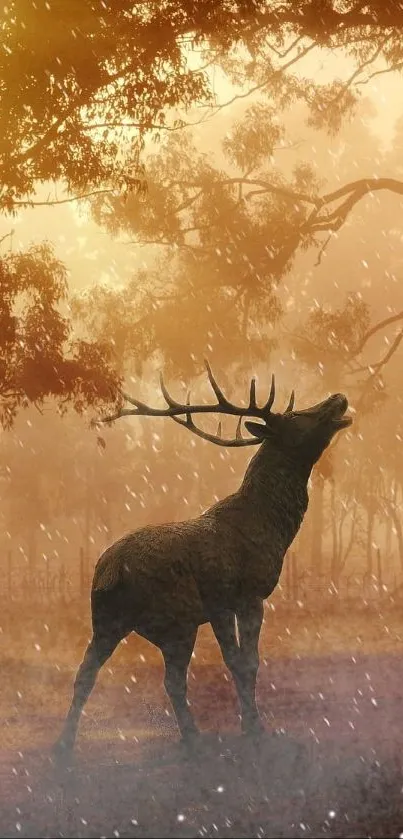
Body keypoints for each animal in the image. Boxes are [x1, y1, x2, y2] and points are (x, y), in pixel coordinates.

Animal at [54, 362, 354, 760]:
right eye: (295, 416)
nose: (338, 396)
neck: (272, 528)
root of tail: (111, 571)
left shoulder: (219, 607)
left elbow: (237, 662)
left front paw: (249, 725)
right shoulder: (242, 594)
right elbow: (246, 662)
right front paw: (255, 730)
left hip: (105, 619)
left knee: (85, 674)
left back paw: (64, 745)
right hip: (176, 619)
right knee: (172, 680)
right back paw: (194, 737)